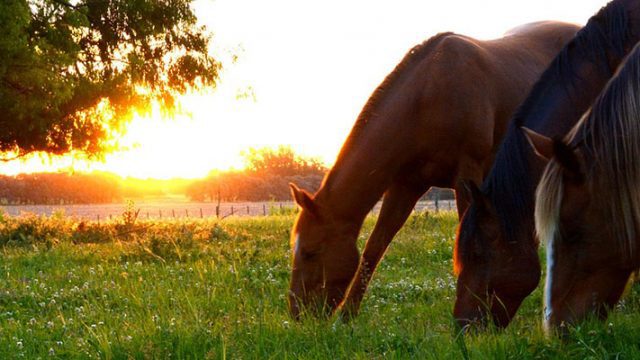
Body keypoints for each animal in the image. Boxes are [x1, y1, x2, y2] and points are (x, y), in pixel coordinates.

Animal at [286, 20, 580, 318]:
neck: (428, 96)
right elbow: (374, 247)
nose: (298, 313)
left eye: (310, 252)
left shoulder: (467, 175)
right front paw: (347, 316)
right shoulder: (406, 185)